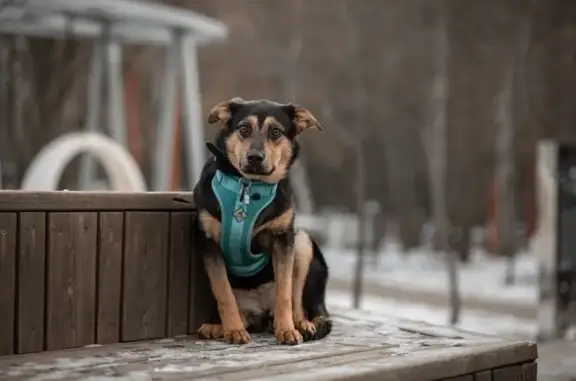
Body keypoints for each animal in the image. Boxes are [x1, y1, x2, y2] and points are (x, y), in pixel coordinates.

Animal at [192, 95, 330, 344]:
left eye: (276, 132)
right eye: (244, 129)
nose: (255, 158)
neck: (248, 187)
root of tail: (262, 312)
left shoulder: (283, 239)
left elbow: (285, 292)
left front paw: (286, 330)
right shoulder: (209, 243)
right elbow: (223, 292)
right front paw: (233, 330)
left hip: (302, 242)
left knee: (296, 299)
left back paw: (301, 324)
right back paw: (219, 327)